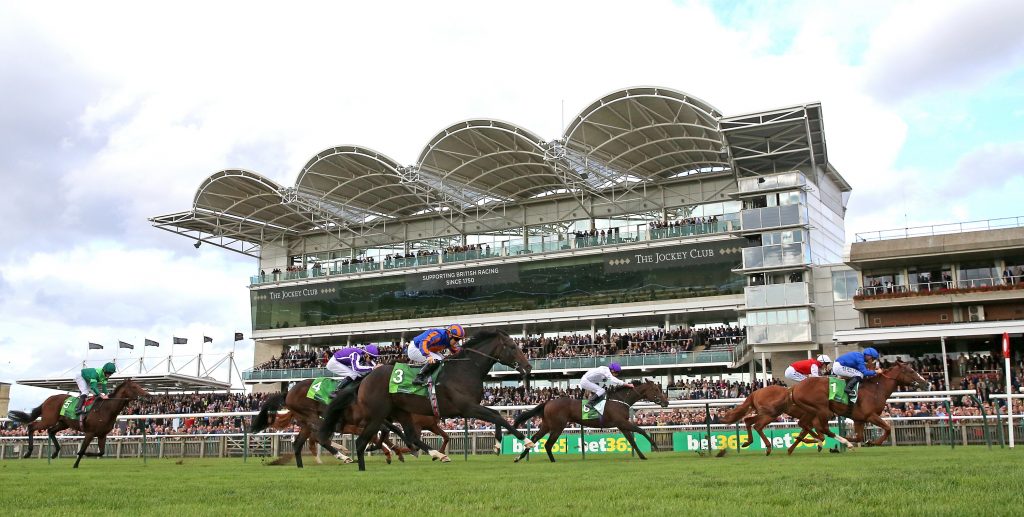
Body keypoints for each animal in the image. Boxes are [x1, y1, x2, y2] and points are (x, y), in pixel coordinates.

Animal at [9, 378, 149, 466]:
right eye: (135, 387)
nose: (148, 396)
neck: (106, 409)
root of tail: (48, 400)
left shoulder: (102, 435)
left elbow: (101, 452)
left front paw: (86, 454)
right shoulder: (90, 433)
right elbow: (81, 450)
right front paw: (75, 464)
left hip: (63, 423)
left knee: (51, 431)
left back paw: (55, 452)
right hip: (49, 419)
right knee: (32, 426)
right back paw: (28, 452)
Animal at [315, 329, 532, 470]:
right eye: (512, 347)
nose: (528, 367)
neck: (465, 370)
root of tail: (366, 378)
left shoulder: (471, 408)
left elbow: (496, 416)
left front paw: (498, 445)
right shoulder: (467, 408)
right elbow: (498, 417)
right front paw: (526, 441)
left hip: (400, 412)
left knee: (409, 436)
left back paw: (436, 454)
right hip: (377, 415)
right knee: (362, 441)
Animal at [512, 376, 671, 460]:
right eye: (656, 389)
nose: (666, 402)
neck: (619, 400)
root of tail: (548, 402)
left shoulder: (622, 425)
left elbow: (632, 440)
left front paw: (642, 456)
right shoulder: (622, 422)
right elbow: (641, 431)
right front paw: (655, 446)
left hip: (546, 425)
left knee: (533, 439)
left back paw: (519, 458)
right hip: (557, 426)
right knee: (547, 444)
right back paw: (552, 460)